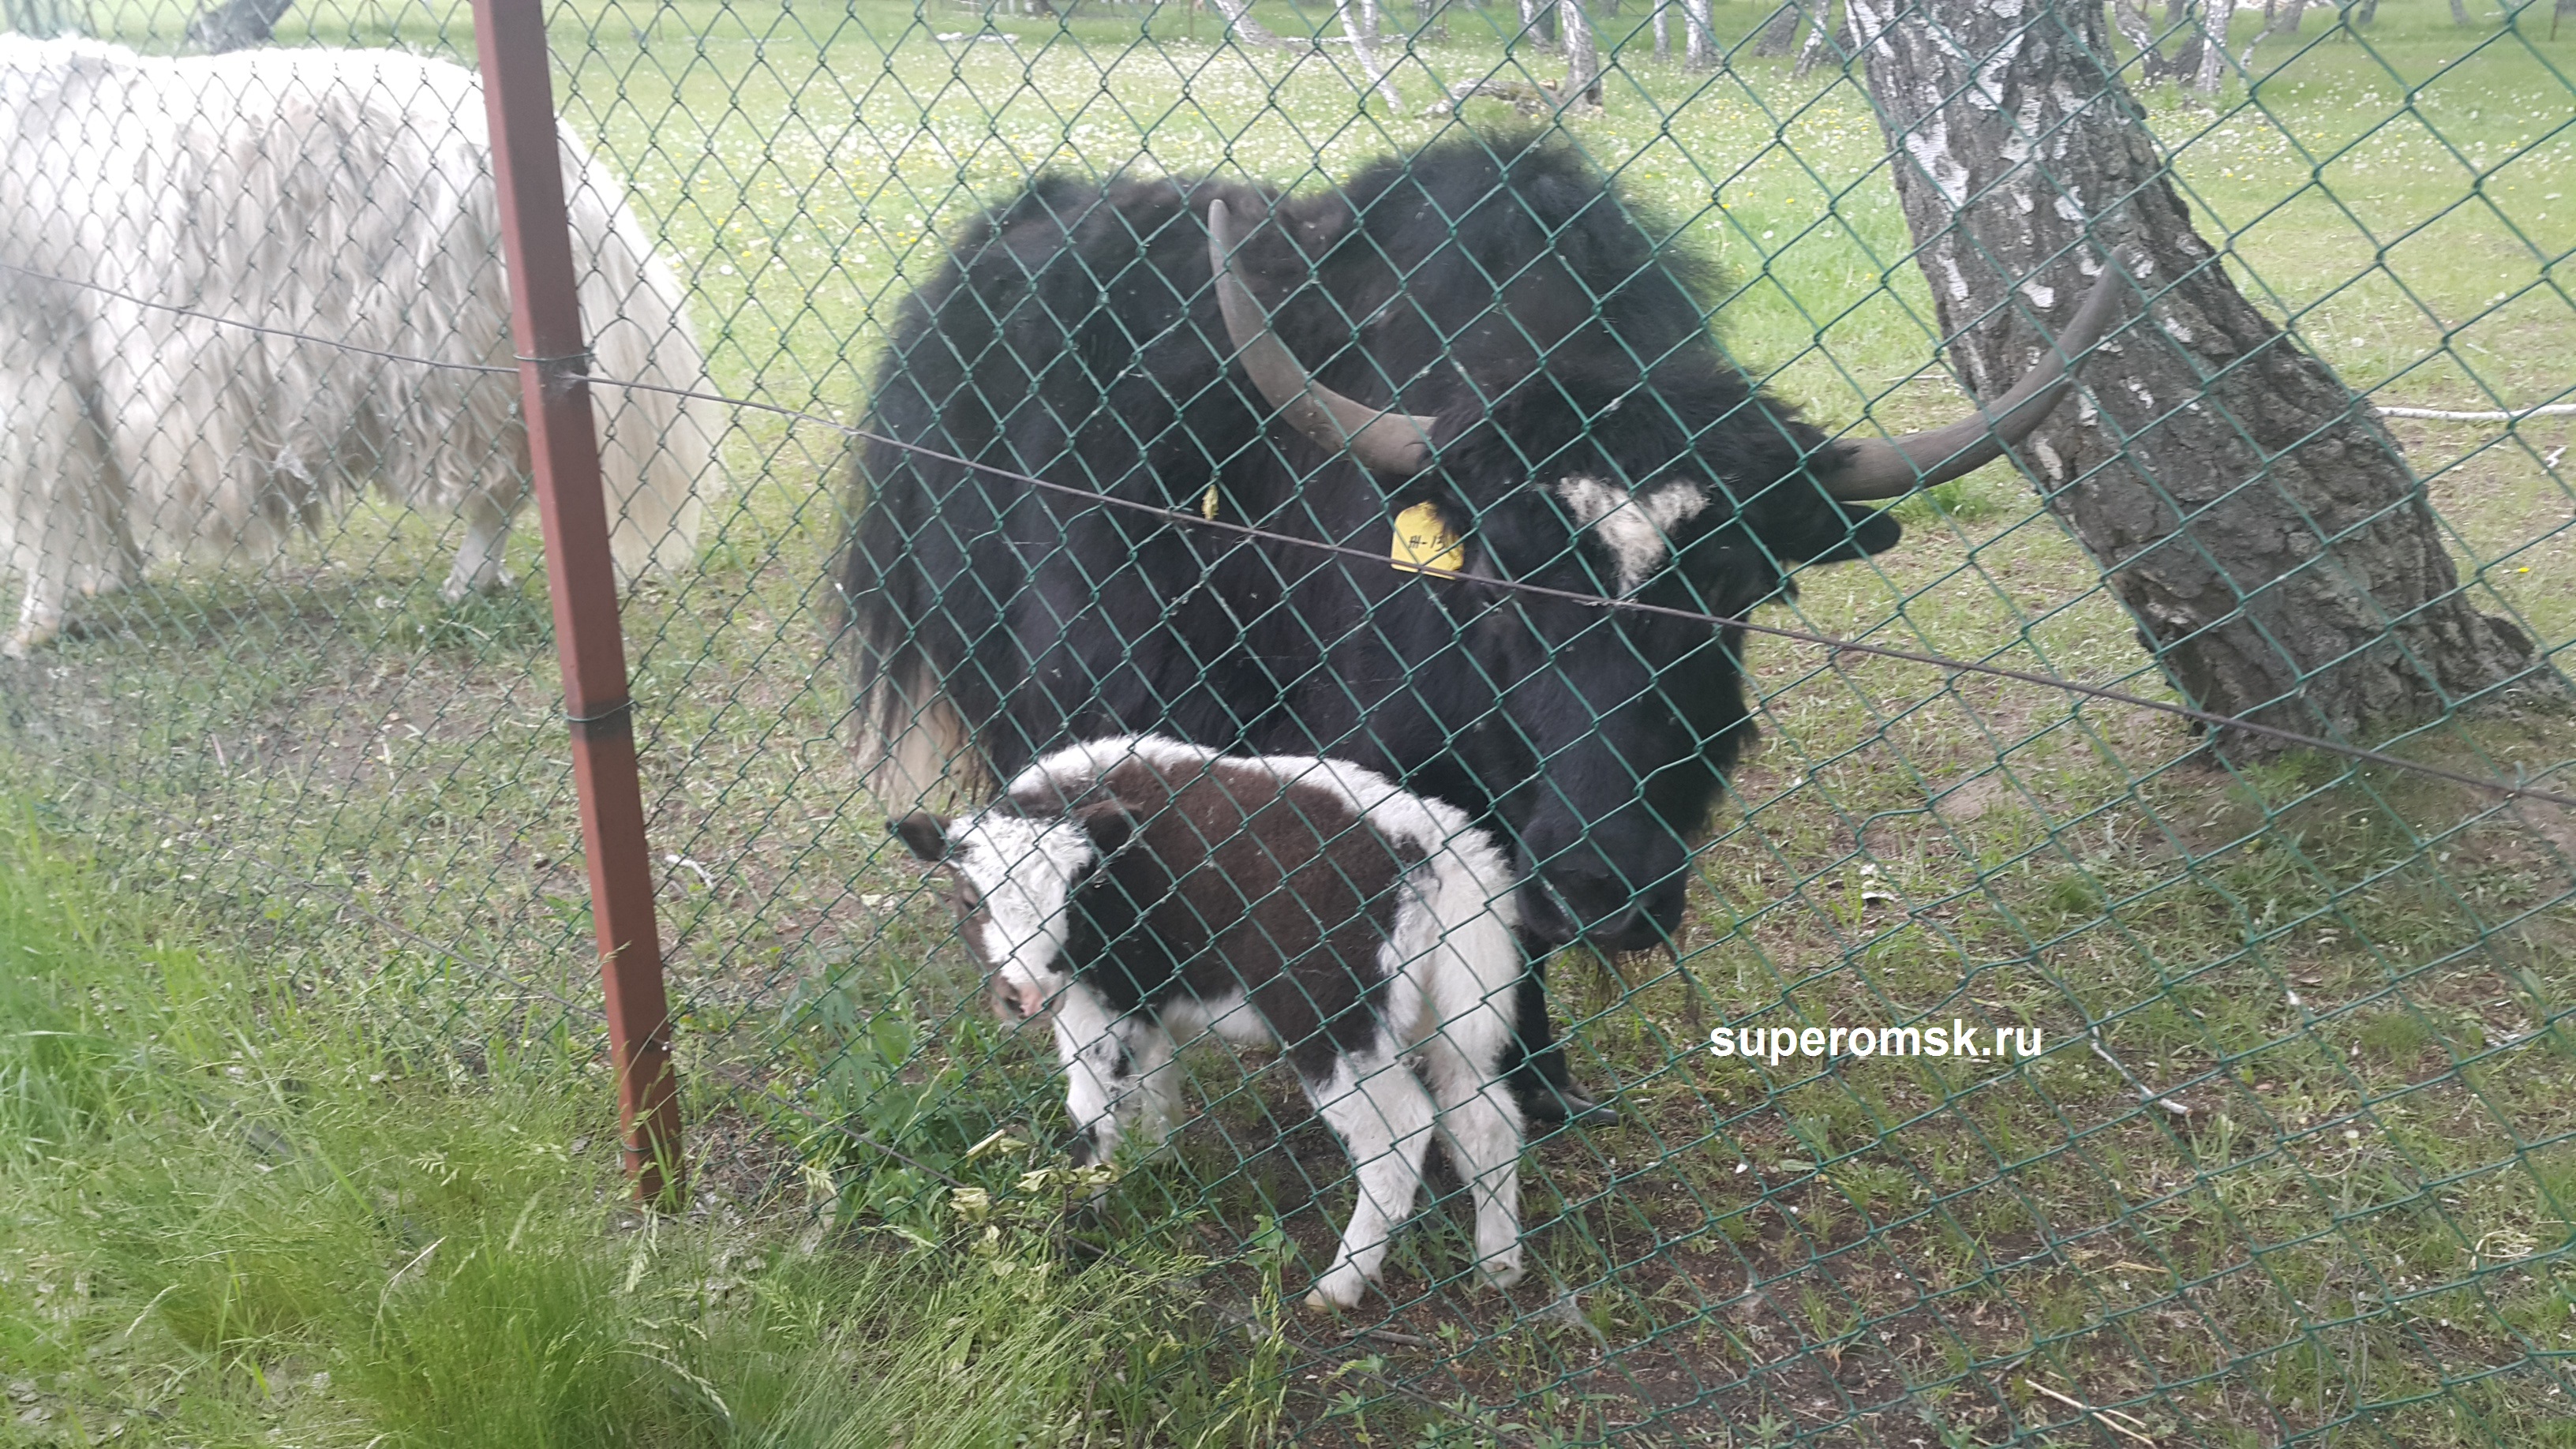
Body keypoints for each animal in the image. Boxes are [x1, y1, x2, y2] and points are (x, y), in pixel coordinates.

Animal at [896, 732, 1515, 1309]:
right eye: (970, 898)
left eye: (1072, 898)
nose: (1023, 996)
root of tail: (1441, 849)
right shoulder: (1149, 999)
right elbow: (1156, 1077)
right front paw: (1159, 1158)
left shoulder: (1100, 1000)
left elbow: (1091, 1112)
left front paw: (1075, 1231)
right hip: (1449, 1011)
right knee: (1485, 1117)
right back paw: (1499, 1264)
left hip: (1332, 1019)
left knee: (1400, 1130)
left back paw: (1339, 1286)